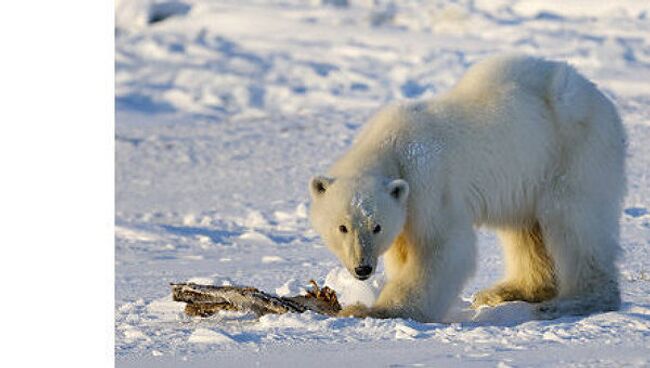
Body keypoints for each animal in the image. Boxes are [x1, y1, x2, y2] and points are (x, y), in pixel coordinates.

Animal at [308, 54, 624, 322]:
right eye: (342, 227)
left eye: (376, 227)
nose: (363, 268)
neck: (392, 144)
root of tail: (604, 102)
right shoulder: (407, 200)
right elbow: (404, 249)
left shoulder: (429, 182)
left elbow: (441, 246)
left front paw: (373, 310)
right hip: (528, 175)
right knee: (525, 230)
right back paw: (506, 291)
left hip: (573, 151)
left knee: (573, 223)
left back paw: (572, 302)